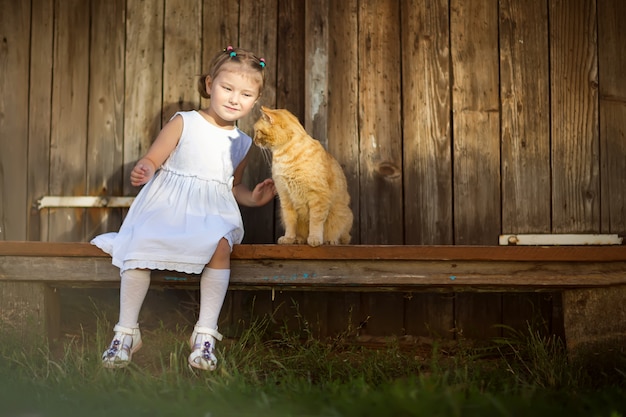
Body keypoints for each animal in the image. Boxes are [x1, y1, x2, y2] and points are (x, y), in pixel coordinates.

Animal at [252, 105, 352, 245]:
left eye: (257, 132)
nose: (254, 141)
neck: (284, 155)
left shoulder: (318, 196)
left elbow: (315, 222)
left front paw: (315, 239)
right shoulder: (285, 196)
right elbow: (290, 221)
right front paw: (288, 238)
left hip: (342, 216)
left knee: (342, 236)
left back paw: (330, 240)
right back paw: (298, 239)